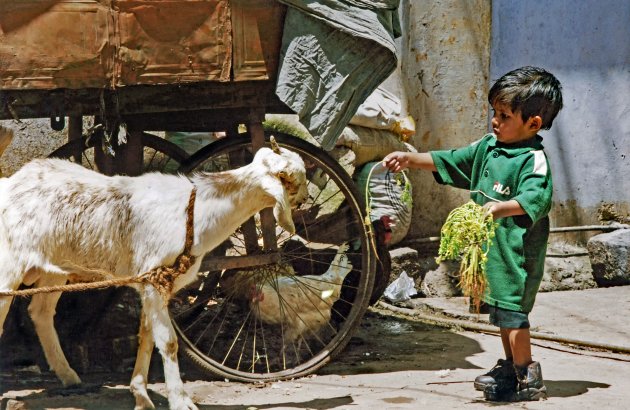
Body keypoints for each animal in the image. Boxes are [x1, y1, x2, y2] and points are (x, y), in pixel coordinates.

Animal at [0, 125, 308, 410]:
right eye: (296, 178)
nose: (305, 198)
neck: (195, 212)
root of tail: (10, 182)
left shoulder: (153, 285)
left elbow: (146, 335)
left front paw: (141, 395)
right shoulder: (155, 280)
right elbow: (169, 341)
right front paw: (180, 400)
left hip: (54, 269)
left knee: (40, 311)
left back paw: (69, 376)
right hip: (9, 266)